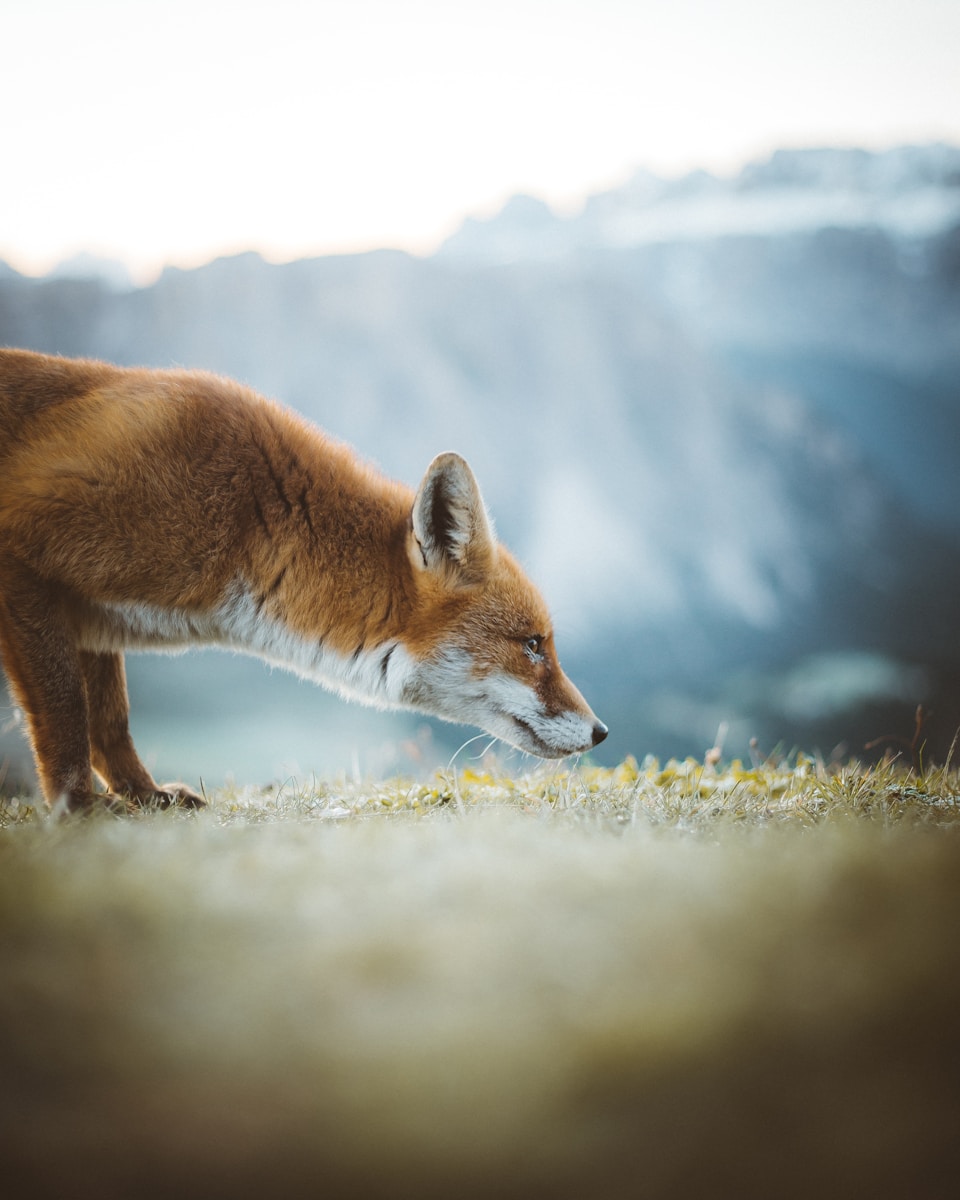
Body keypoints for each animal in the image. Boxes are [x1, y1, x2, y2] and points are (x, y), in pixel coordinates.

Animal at [0, 349, 607, 811]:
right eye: (533, 645)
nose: (601, 731)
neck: (246, 519)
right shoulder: (25, 550)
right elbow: (67, 713)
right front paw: (80, 809)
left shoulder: (94, 617)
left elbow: (110, 721)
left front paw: (144, 796)